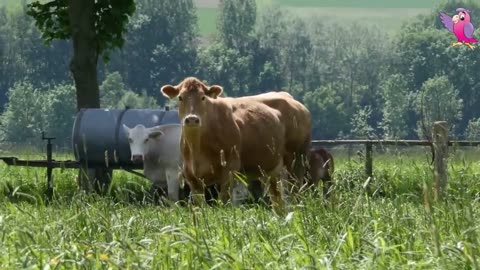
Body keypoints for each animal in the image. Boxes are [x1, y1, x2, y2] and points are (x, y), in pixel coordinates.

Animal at [161, 76, 288, 213]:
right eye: (180, 97)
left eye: (203, 97)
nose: (192, 119)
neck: (197, 147)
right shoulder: (192, 178)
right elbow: (200, 205)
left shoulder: (229, 171)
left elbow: (223, 199)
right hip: (270, 173)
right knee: (277, 198)